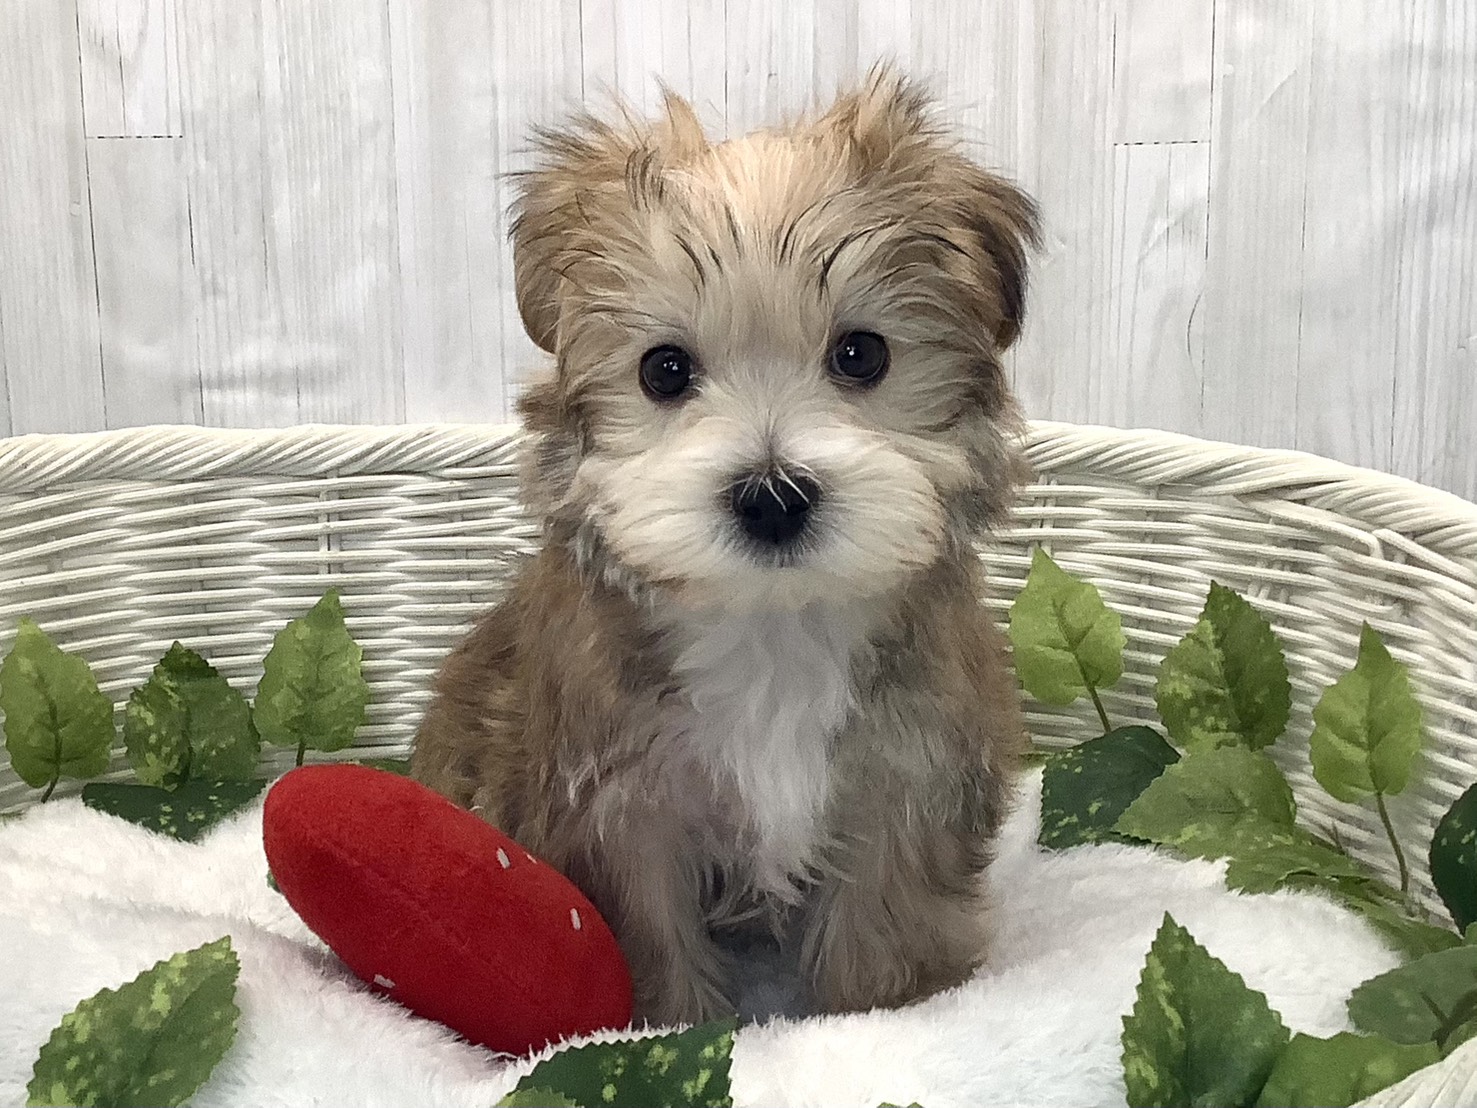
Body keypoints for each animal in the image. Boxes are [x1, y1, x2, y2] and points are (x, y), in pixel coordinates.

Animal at [411, 65, 1037, 1026]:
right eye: (663, 371)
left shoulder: (905, 778)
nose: (772, 496)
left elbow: (878, 934)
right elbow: (649, 941)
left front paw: (873, 1015)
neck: (771, 622)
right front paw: (673, 1029)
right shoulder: (618, 806)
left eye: (861, 355)